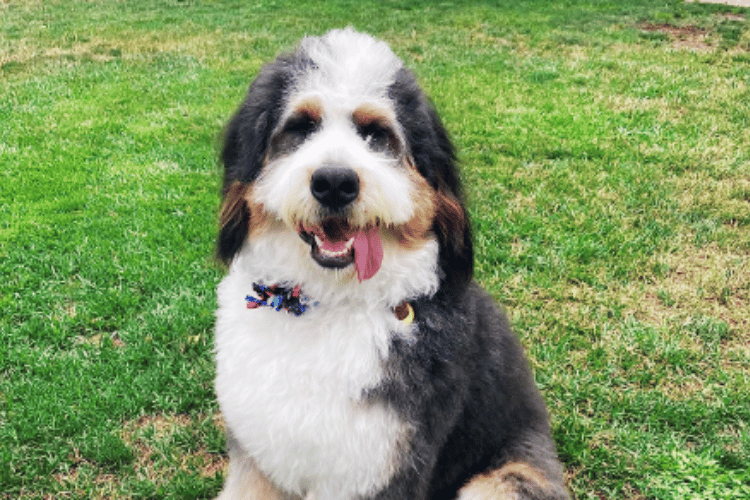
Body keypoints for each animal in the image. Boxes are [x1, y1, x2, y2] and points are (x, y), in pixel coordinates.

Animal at [212, 28, 568, 500]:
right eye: (301, 128)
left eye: (377, 135)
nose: (335, 182)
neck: (328, 302)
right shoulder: (257, 462)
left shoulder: (378, 469)